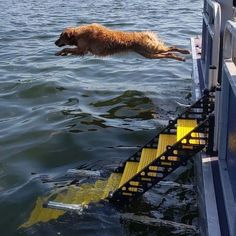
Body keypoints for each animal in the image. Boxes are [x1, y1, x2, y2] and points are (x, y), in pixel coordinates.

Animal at [54, 23, 190, 60]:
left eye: (60, 37)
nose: (54, 43)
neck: (78, 35)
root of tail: (146, 35)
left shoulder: (82, 49)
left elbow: (66, 48)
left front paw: (59, 52)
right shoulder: (81, 50)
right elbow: (67, 50)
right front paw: (62, 53)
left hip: (152, 49)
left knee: (171, 48)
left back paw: (185, 52)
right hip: (149, 54)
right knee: (168, 53)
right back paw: (179, 58)